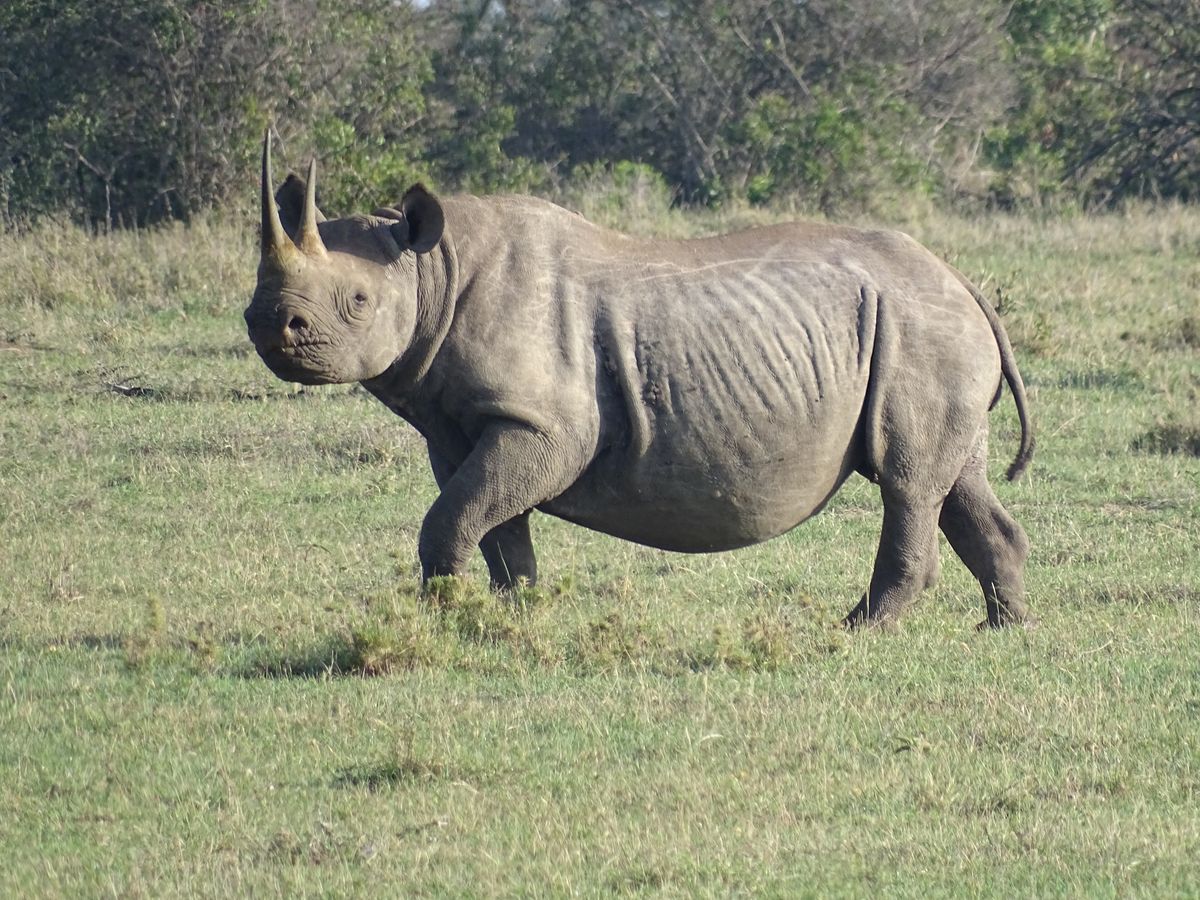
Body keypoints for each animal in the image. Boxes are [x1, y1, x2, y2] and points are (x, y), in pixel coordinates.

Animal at [244, 134, 1035, 629]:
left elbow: (454, 518)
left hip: (919, 329)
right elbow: (496, 526)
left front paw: (446, 616)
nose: (268, 323)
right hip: (928, 332)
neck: (432, 268)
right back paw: (1004, 630)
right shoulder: (471, 423)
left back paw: (856, 632)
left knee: (907, 481)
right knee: (953, 480)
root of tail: (963, 281)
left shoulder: (543, 424)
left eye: (357, 302)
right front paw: (515, 617)